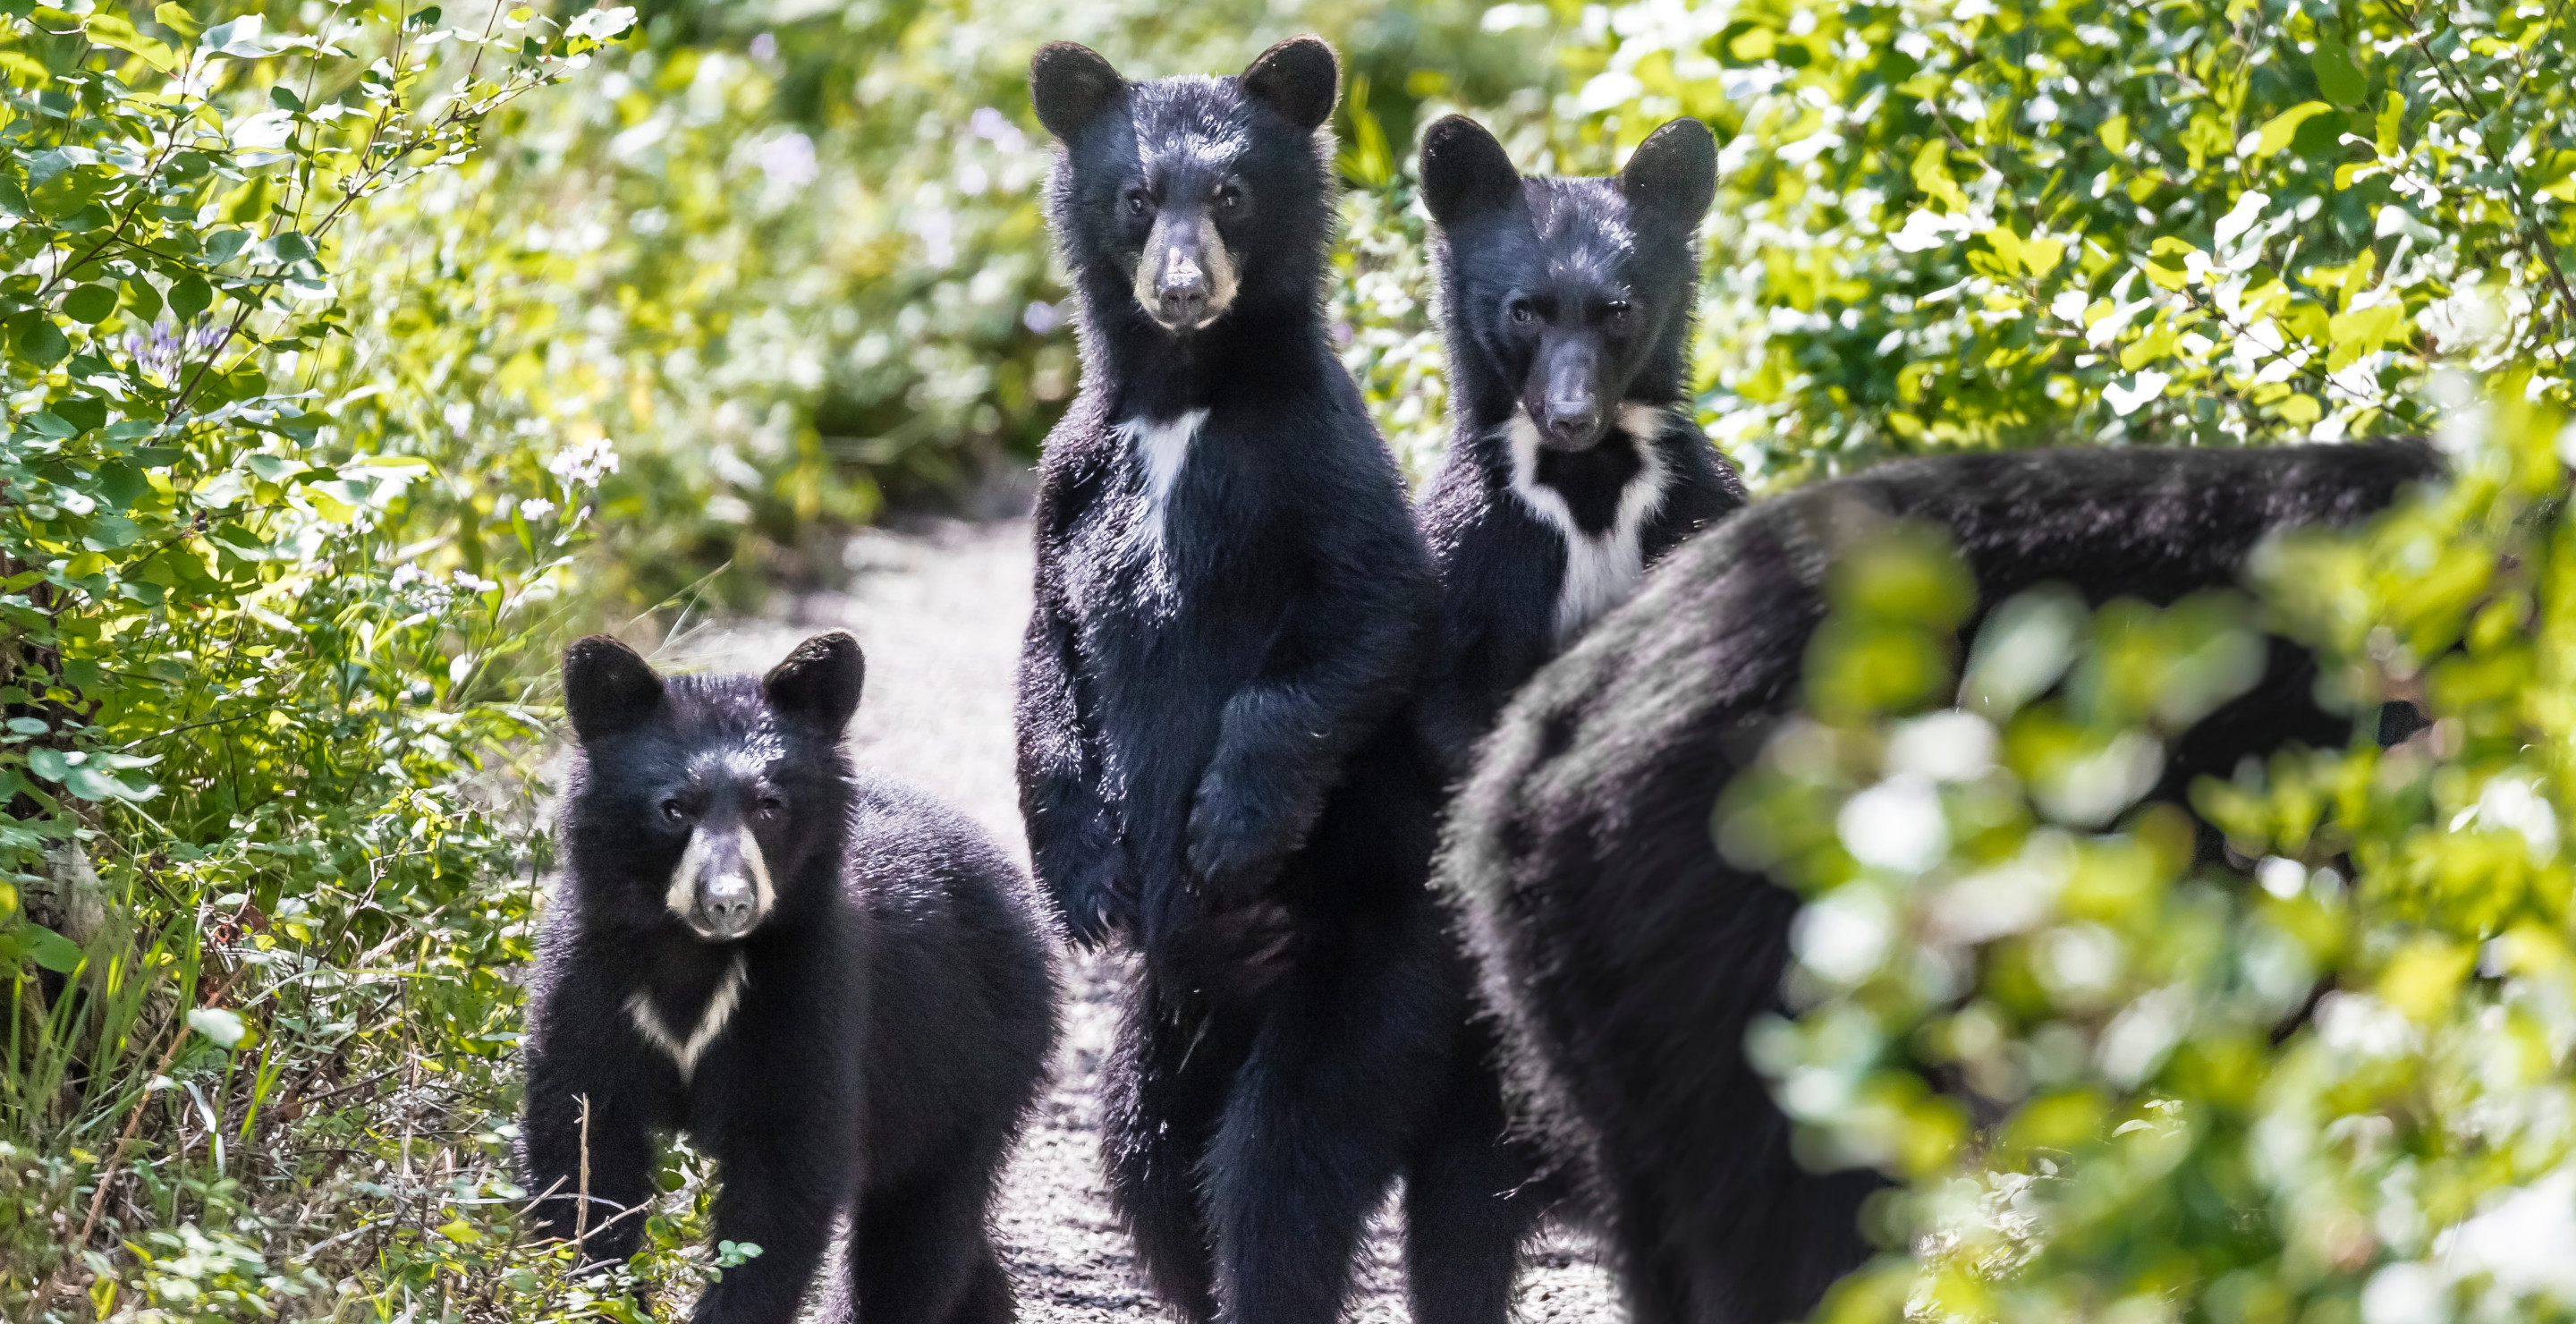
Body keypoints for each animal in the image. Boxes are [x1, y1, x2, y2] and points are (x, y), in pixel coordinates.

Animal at [522, 631, 1055, 1319]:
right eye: (674, 809)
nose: (728, 902)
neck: (692, 951)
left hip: (976, 1064)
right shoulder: (588, 979)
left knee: (919, 1231)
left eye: (769, 808)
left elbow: (785, 1177)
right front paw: (597, 1294)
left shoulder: (809, 991)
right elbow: (583, 1151)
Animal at [1004, 36, 1524, 1313]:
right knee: (1145, 1157)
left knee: (1278, 1163)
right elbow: (1051, 650)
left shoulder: (1314, 459)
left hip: (1374, 974)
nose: (1183, 285)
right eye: (1138, 198)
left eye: (1232, 195)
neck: (1185, 398)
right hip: (1170, 1023)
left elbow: (1368, 614)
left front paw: (1225, 830)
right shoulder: (1071, 473)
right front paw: (1086, 882)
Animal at [1411, 113, 1751, 772]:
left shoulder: (1692, 502)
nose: (1572, 417)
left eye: (1619, 311)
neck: (1586, 477)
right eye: (1522, 312)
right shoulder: (1478, 541)